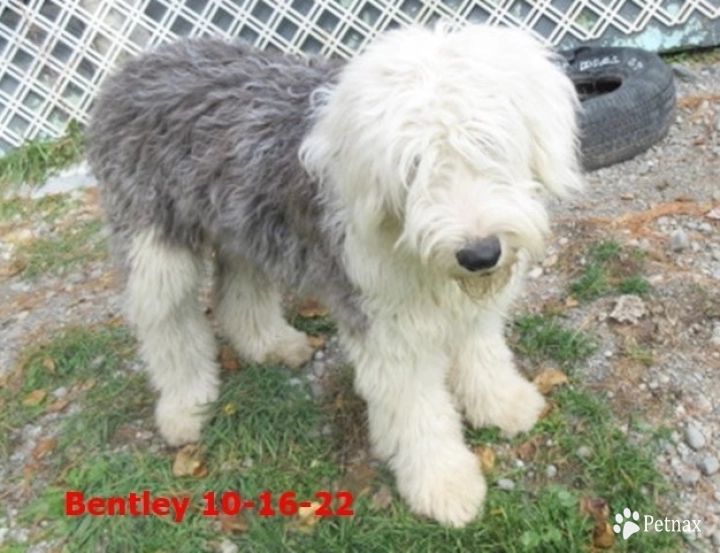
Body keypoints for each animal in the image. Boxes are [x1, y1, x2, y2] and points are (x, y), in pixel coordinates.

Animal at [87, 24, 584, 528]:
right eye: (414, 165)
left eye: (488, 145)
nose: (479, 254)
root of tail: (137, 63)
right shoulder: (384, 324)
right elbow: (417, 410)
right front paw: (443, 483)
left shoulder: (466, 305)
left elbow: (482, 352)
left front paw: (504, 404)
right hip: (154, 245)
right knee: (166, 325)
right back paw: (185, 406)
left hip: (244, 224)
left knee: (236, 293)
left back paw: (271, 344)